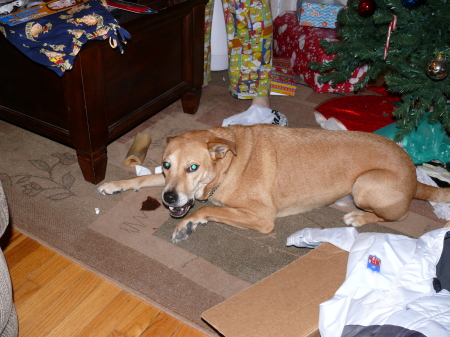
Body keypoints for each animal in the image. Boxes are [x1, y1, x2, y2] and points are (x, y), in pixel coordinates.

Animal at [96, 123, 450, 242]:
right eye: (168, 165)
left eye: (193, 167)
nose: (169, 199)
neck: (229, 164)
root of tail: (413, 175)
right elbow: (147, 177)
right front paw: (115, 184)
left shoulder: (262, 218)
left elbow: (205, 211)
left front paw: (187, 225)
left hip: (365, 185)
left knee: (398, 216)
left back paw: (359, 217)